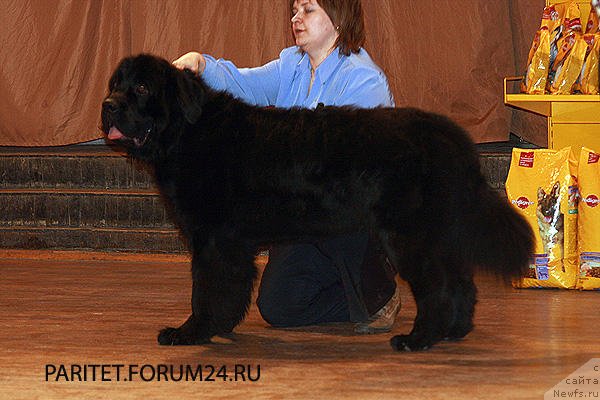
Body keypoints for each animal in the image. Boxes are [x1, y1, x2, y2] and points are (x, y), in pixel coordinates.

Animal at [99, 54, 536, 352]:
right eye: (114, 83)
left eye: (141, 88)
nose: (108, 105)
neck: (187, 133)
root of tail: (452, 137)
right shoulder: (230, 243)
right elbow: (228, 289)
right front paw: (218, 326)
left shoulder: (213, 240)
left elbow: (205, 289)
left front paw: (191, 331)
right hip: (438, 234)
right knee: (461, 281)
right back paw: (454, 331)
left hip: (410, 236)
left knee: (438, 286)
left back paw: (418, 338)